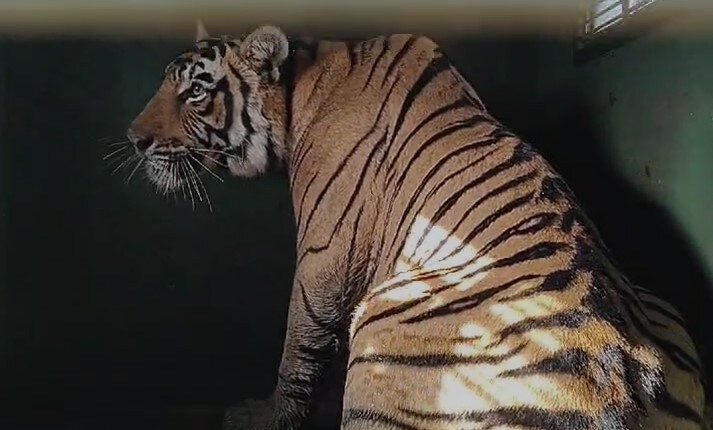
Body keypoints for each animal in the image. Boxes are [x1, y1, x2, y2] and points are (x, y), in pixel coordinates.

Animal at [122, 20, 708, 430]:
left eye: (195, 92)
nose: (135, 139)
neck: (299, 88)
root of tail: (621, 392)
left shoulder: (324, 256)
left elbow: (299, 344)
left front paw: (262, 417)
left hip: (380, 321)